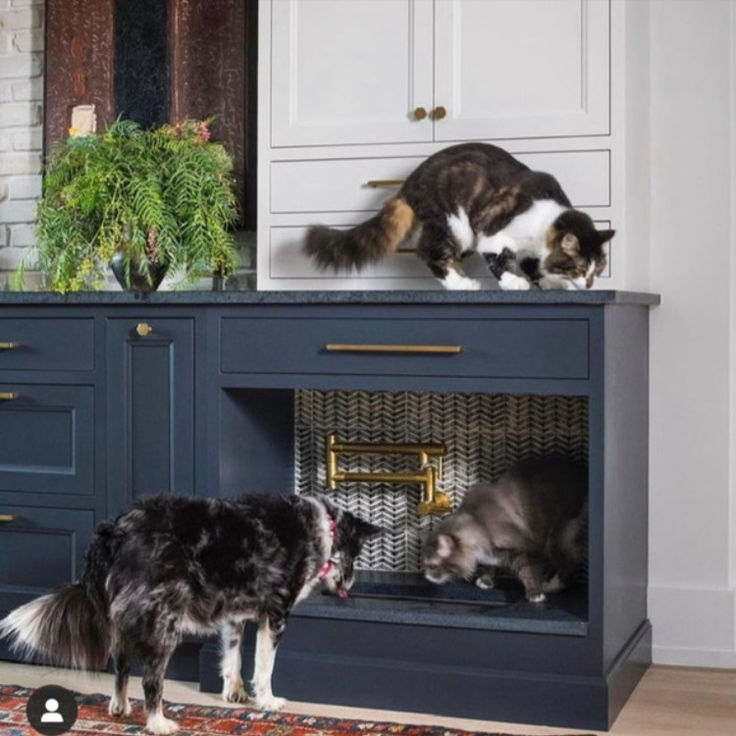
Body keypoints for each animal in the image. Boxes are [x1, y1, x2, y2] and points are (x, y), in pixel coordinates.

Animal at [0, 492, 380, 732]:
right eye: (356, 554)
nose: (352, 585)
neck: (322, 528)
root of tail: (116, 529)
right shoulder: (275, 613)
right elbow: (264, 666)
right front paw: (267, 702)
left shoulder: (235, 614)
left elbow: (232, 656)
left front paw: (234, 694)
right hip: (163, 621)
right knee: (151, 680)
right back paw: (159, 724)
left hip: (125, 617)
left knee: (121, 664)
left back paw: (120, 707)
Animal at [302, 142, 612, 292]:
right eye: (579, 268)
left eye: (598, 269)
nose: (589, 285)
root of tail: (409, 182)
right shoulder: (492, 231)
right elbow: (501, 259)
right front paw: (515, 282)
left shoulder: (532, 250)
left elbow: (534, 264)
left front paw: (548, 282)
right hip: (456, 223)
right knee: (429, 253)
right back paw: (462, 284)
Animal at [420, 454, 588, 604]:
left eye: (432, 566)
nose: (426, 577)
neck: (478, 523)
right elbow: (492, 566)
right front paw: (486, 581)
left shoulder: (521, 547)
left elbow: (528, 571)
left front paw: (535, 593)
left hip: (559, 535)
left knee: (570, 560)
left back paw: (552, 584)